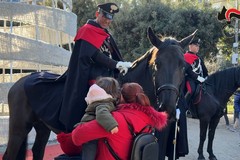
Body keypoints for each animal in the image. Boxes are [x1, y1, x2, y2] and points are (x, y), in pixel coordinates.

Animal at [2, 26, 196, 159]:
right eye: (157, 64)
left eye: (183, 65)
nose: (168, 105)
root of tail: (20, 82)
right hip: (19, 128)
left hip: (42, 127)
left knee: (37, 150)